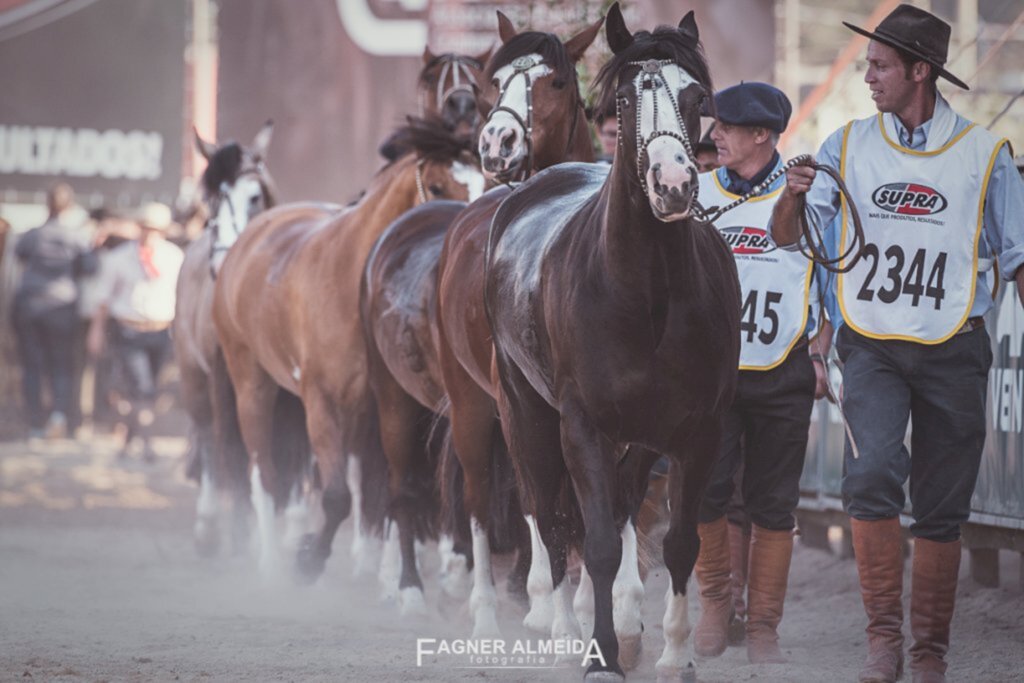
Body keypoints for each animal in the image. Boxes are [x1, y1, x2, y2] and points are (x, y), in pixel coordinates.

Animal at [211, 117, 483, 581]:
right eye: (436, 185)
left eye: (489, 179)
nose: (469, 244)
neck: (349, 274)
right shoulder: (322, 401)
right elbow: (336, 494)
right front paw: (308, 558)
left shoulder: (375, 406)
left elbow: (374, 486)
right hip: (251, 382)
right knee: (263, 471)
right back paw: (269, 561)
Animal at [360, 12, 602, 626]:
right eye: (498, 80)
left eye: (556, 82)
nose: (496, 141)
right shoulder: (520, 403)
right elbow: (537, 500)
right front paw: (543, 603)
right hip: (438, 403)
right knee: (448, 493)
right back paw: (449, 595)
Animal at [483, 3, 741, 679]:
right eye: (624, 98)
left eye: (696, 96)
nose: (673, 182)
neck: (646, 294)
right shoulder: (583, 426)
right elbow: (593, 542)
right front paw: (597, 652)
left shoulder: (697, 430)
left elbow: (679, 543)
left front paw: (674, 654)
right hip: (524, 411)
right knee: (548, 517)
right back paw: (562, 628)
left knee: (621, 509)